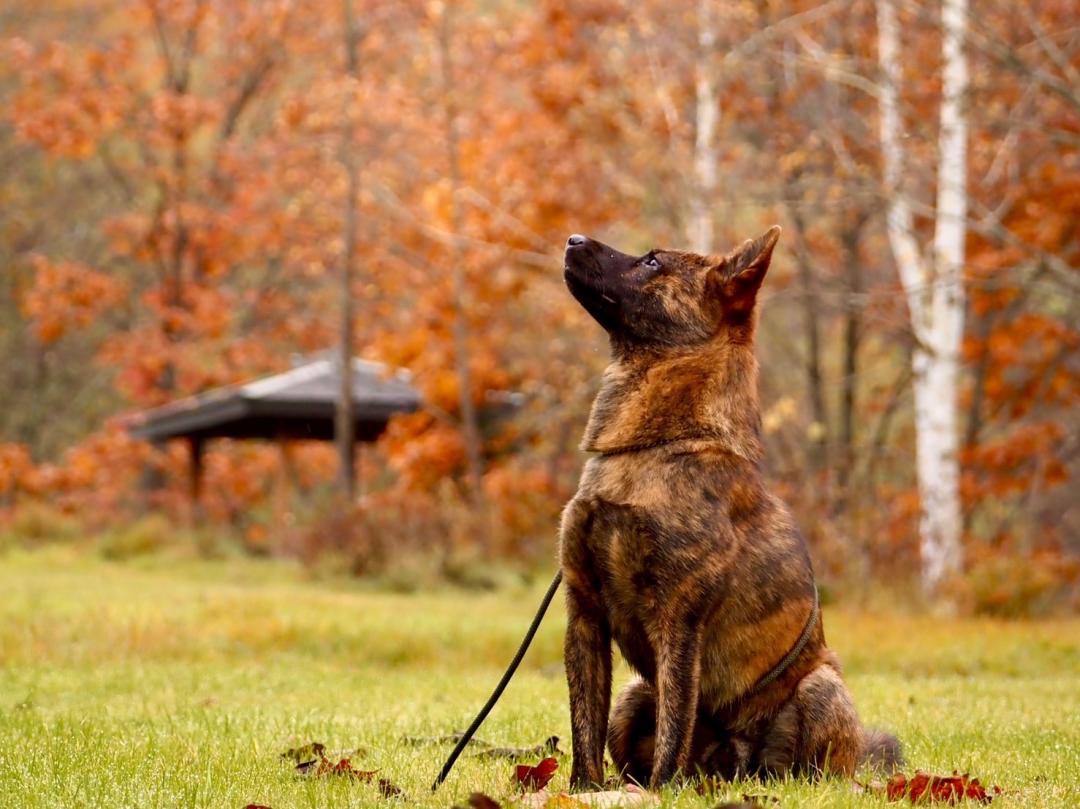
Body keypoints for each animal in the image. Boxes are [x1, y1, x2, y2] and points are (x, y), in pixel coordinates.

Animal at [561, 226, 898, 790]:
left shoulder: (678, 621)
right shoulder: (584, 612)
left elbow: (674, 725)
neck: (655, 447)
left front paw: (660, 794)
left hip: (821, 690)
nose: (572, 238)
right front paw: (583, 790)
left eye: (652, 262)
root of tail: (732, 765)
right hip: (633, 696)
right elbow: (584, 726)